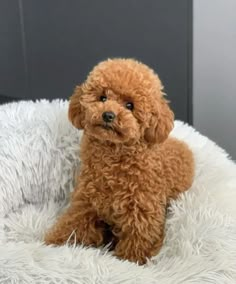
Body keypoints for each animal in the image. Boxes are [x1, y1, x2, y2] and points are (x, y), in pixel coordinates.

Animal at [44, 57, 194, 264]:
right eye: (102, 98)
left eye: (130, 105)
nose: (108, 115)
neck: (113, 159)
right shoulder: (86, 204)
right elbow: (72, 226)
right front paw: (52, 243)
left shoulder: (142, 212)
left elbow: (137, 243)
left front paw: (129, 262)